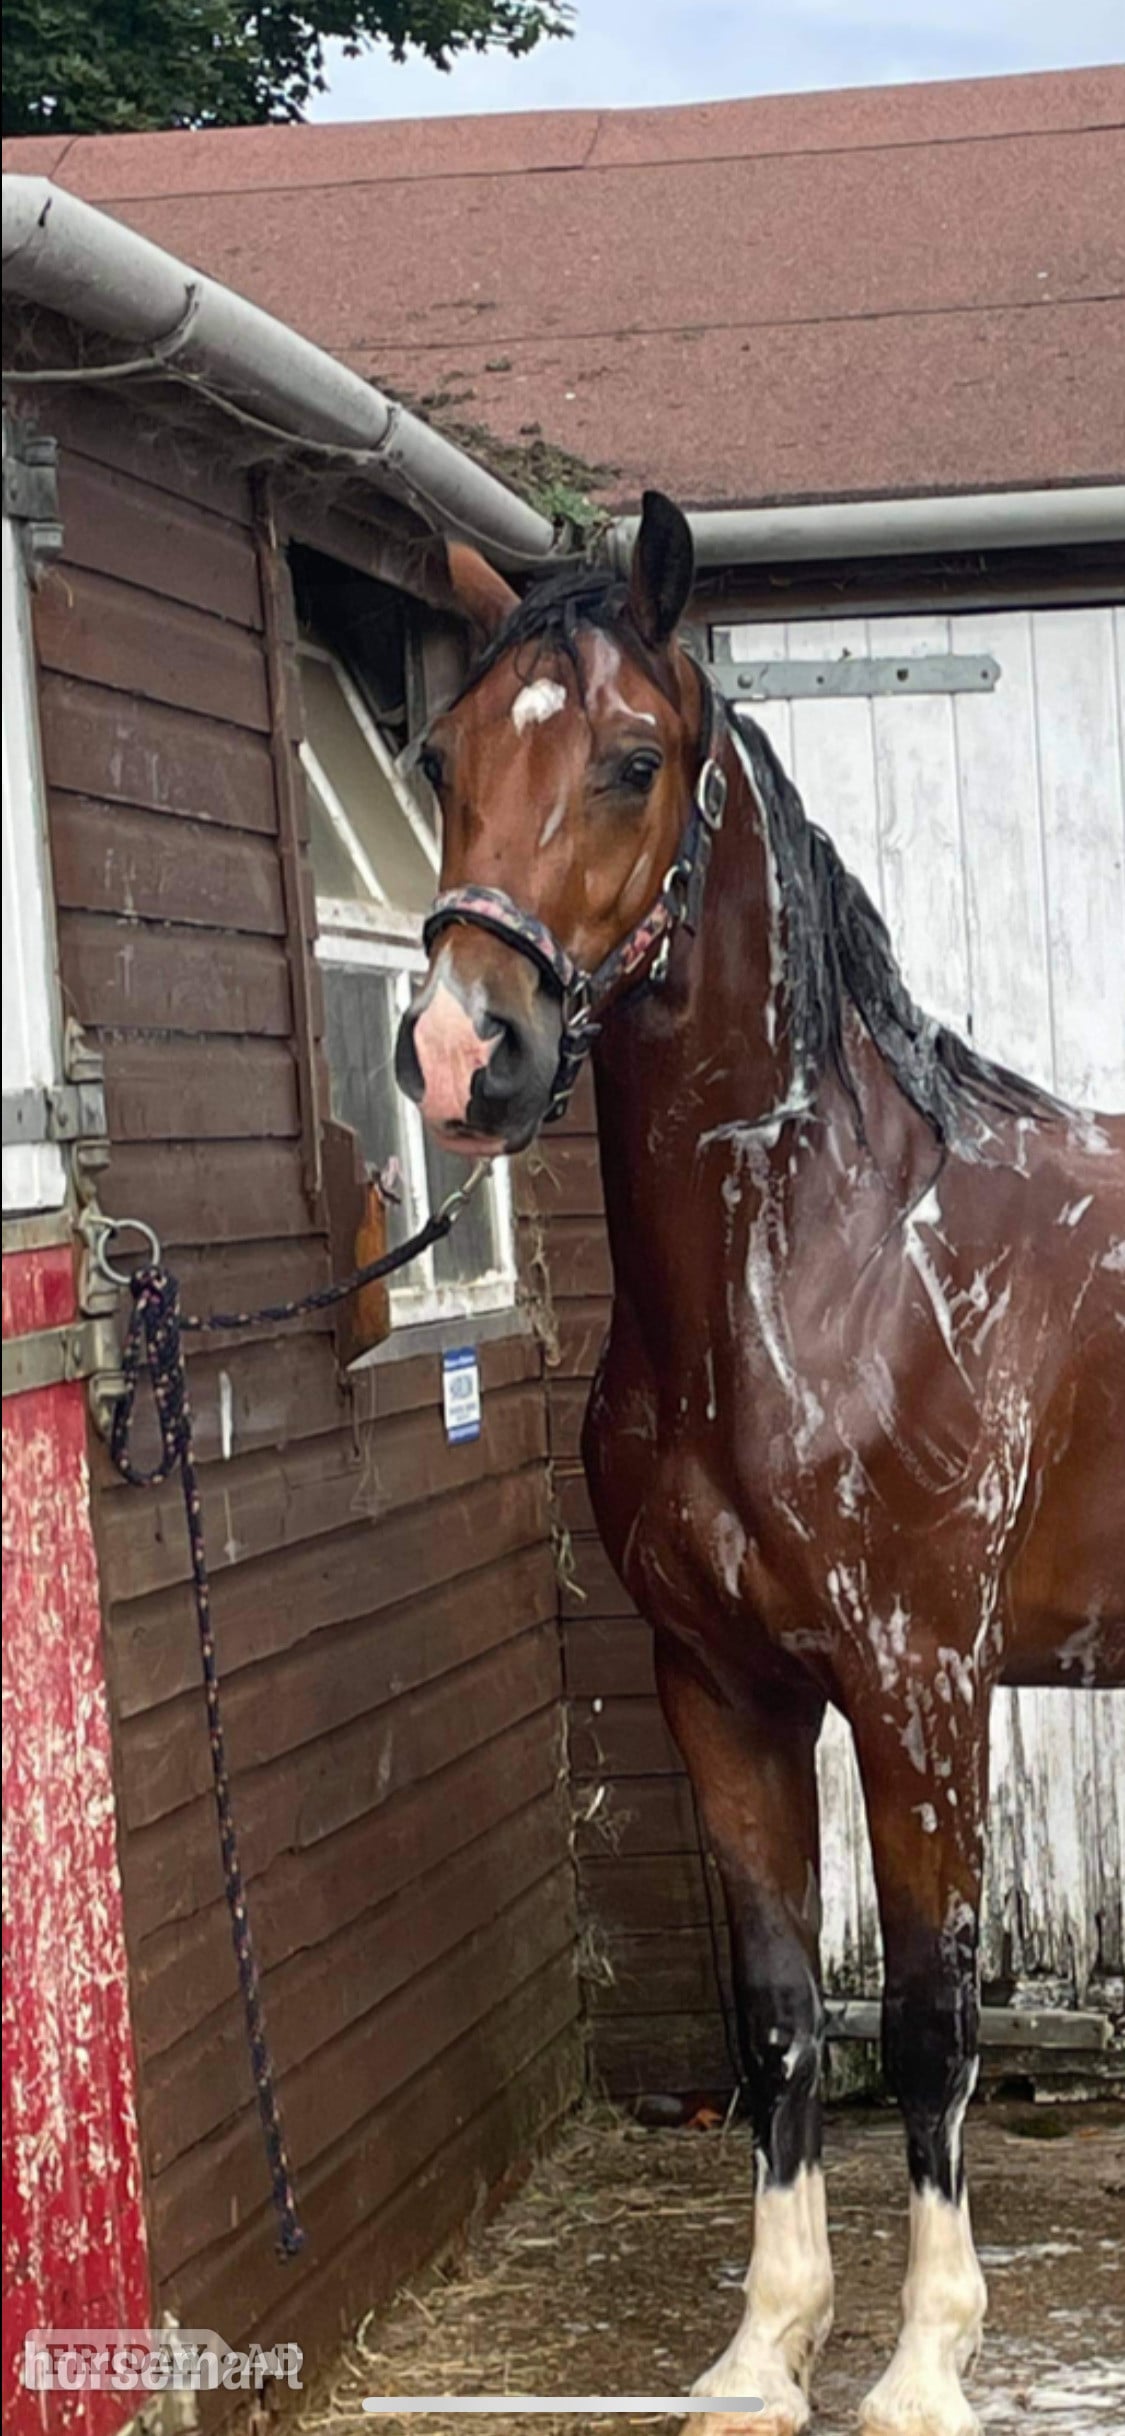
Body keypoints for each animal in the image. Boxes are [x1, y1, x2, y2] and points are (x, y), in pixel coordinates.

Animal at [393, 493, 1125, 2436]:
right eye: (438, 757)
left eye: (633, 761)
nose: (463, 1053)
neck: (829, 1259)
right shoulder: (719, 1691)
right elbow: (783, 2014)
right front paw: (763, 2350)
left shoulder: (922, 1685)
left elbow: (931, 2022)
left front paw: (927, 2367)